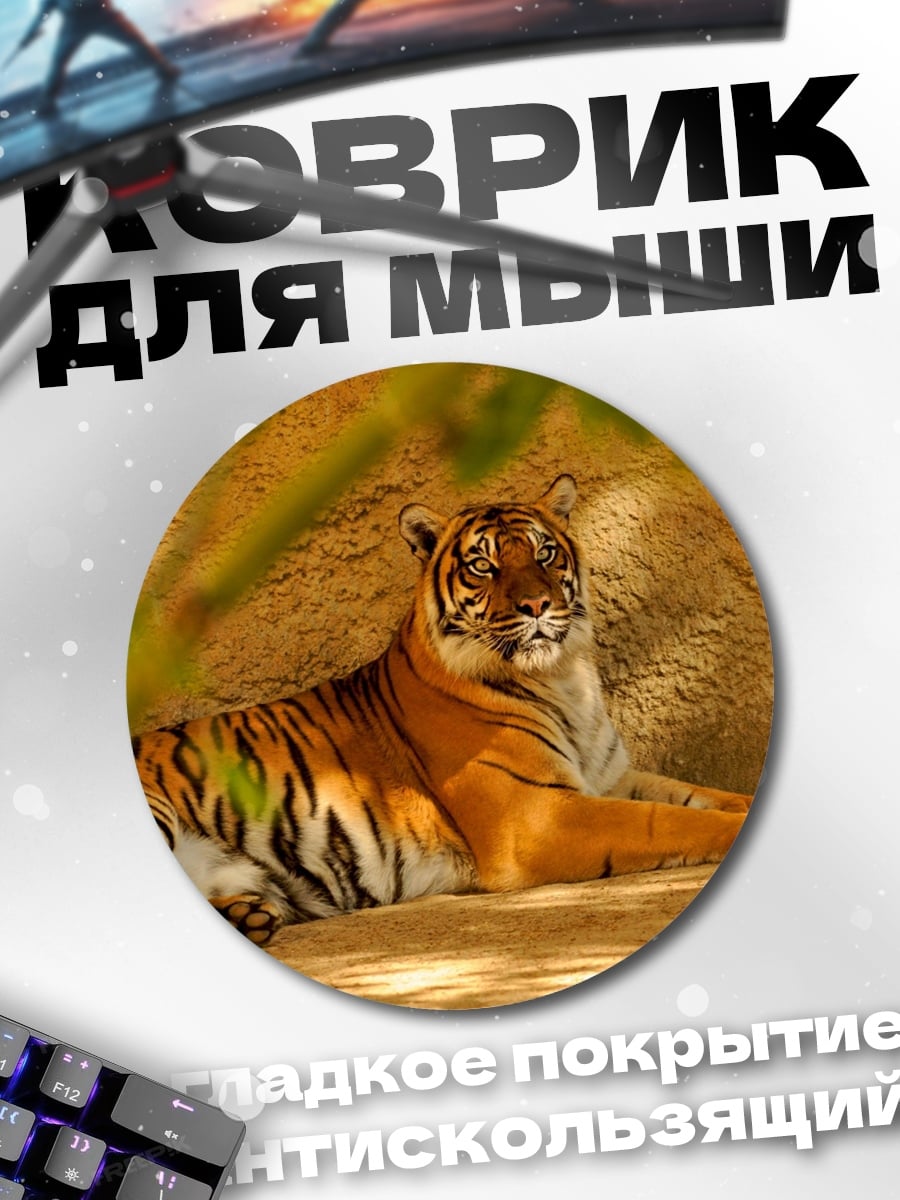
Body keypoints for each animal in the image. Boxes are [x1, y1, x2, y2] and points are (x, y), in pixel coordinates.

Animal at [133, 474, 752, 946]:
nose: (537, 605)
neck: (560, 678)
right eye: (483, 566)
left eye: (545, 553)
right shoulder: (537, 815)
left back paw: (252, 916)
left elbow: (706, 796)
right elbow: (668, 821)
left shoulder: (611, 779)